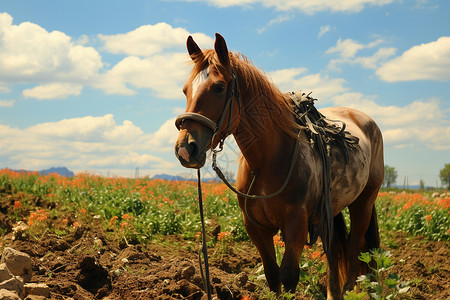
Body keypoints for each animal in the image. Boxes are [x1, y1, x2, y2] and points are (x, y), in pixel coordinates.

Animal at [174, 33, 382, 298]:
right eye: (185, 90)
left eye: (219, 87)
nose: (185, 148)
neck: (267, 161)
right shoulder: (256, 228)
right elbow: (272, 275)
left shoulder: (296, 226)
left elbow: (289, 276)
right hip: (331, 209)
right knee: (335, 250)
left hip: (363, 202)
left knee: (355, 250)